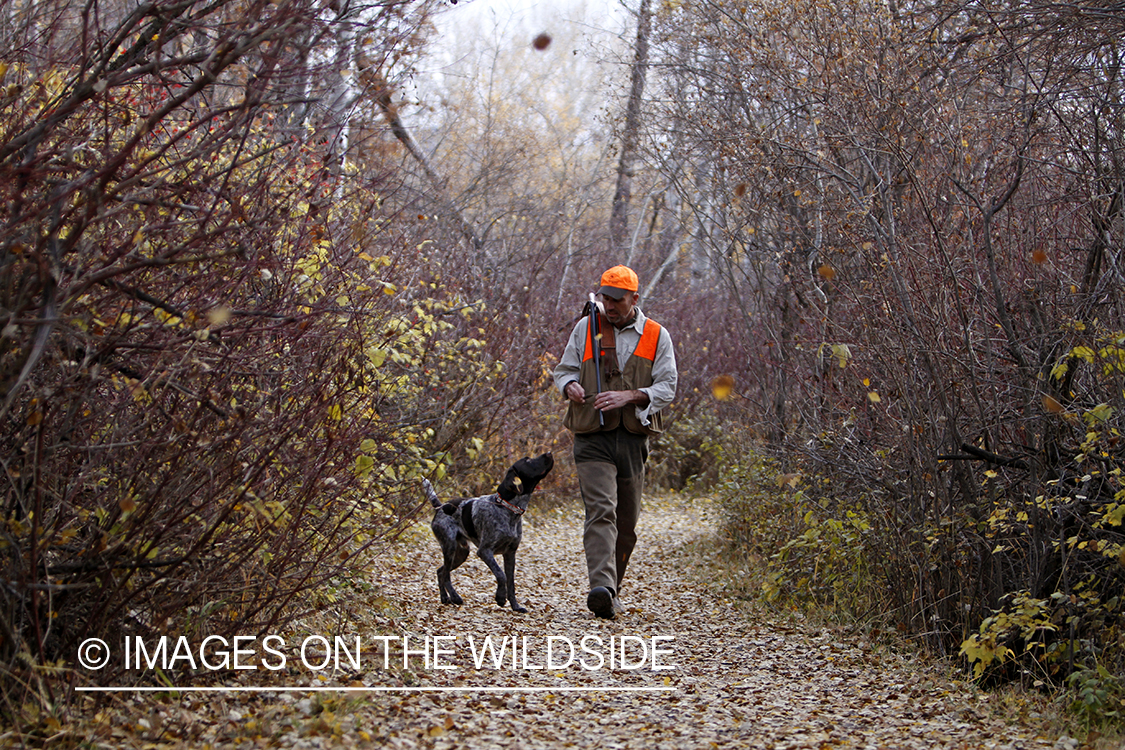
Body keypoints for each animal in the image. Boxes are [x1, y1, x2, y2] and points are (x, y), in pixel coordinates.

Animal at [423, 454, 555, 611]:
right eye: (527, 460)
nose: (549, 453)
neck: (508, 509)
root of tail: (440, 507)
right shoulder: (485, 551)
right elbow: (501, 575)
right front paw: (500, 598)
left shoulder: (510, 553)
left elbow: (511, 583)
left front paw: (515, 606)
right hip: (450, 547)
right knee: (445, 574)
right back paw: (455, 597)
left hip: (462, 552)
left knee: (440, 571)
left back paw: (444, 598)